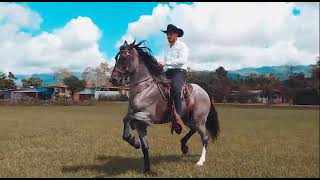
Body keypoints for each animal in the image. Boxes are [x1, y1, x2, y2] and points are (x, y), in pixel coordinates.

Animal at [110, 39, 220, 173]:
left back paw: (200, 161)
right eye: (117, 57)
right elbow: (144, 146)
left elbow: (127, 118)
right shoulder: (140, 124)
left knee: (205, 138)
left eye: (124, 58)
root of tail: (205, 92)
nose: (113, 79)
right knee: (193, 130)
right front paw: (146, 168)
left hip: (199, 119)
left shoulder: (147, 117)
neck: (144, 89)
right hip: (188, 119)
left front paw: (134, 141)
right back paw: (184, 146)